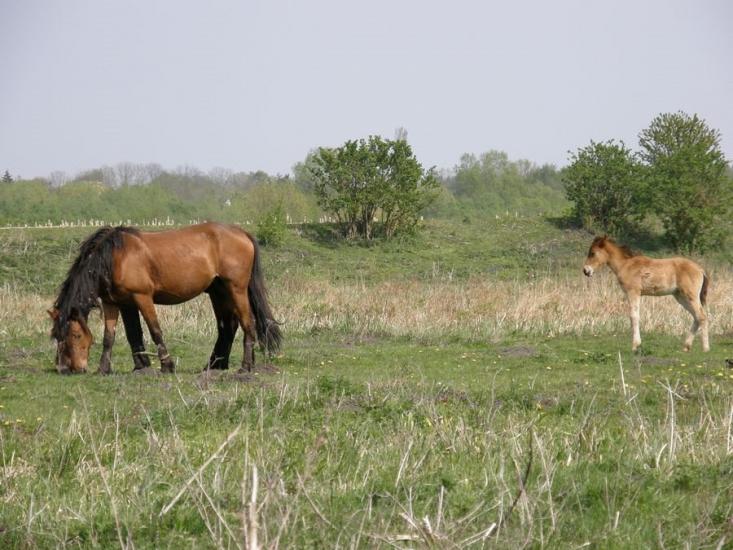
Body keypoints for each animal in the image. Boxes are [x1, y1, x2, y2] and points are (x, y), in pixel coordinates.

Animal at [46, 223, 280, 376]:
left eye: (75, 335)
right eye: (56, 336)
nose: (65, 368)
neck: (115, 257)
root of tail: (242, 233)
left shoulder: (142, 297)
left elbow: (154, 330)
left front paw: (166, 365)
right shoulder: (115, 302)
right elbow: (116, 336)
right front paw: (115, 367)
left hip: (236, 289)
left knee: (247, 323)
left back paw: (245, 367)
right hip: (219, 292)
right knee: (228, 326)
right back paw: (215, 365)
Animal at [580, 236, 708, 354]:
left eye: (592, 253)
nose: (586, 271)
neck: (626, 265)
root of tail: (700, 269)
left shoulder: (633, 292)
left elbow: (634, 316)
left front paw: (635, 345)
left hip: (690, 296)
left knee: (702, 316)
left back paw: (705, 348)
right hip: (681, 297)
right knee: (696, 317)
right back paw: (686, 346)